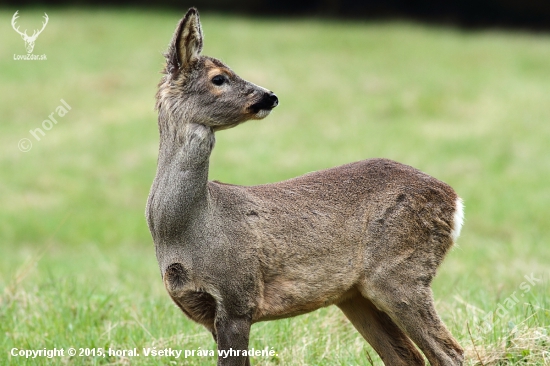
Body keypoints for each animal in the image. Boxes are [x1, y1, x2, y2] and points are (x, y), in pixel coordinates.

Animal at [146, 7, 466, 364]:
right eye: (218, 78)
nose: (269, 96)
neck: (188, 226)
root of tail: (454, 200)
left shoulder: (238, 297)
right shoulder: (205, 310)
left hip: (401, 270)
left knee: (449, 352)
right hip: (356, 293)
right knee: (406, 356)